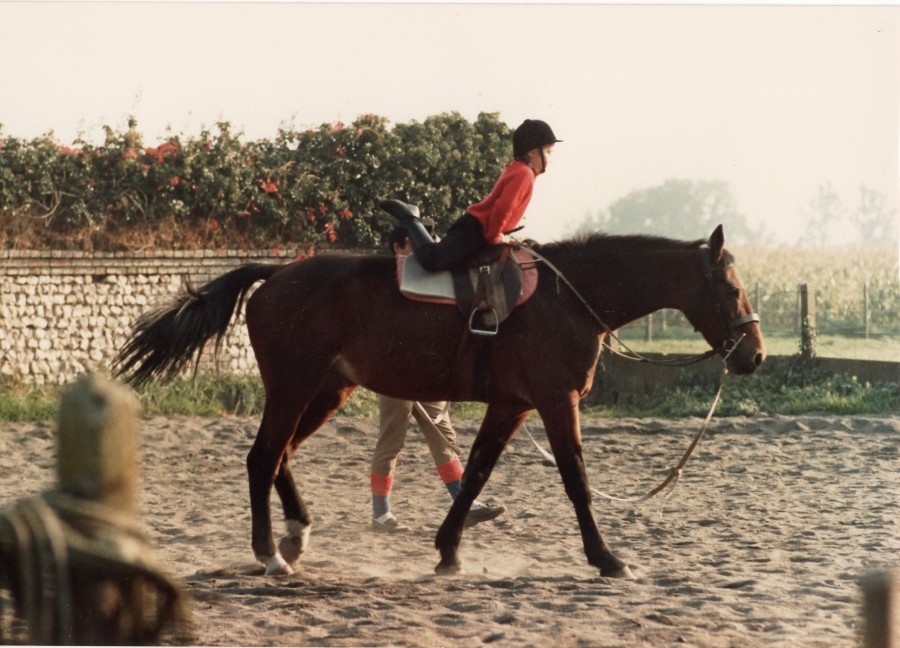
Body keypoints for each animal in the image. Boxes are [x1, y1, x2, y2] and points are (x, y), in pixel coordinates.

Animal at [114, 224, 765, 579]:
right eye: (732, 287)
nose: (754, 355)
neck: (566, 298)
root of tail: (276, 274)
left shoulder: (512, 406)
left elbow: (474, 471)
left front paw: (449, 549)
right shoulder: (555, 403)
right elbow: (576, 480)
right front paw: (606, 558)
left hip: (326, 390)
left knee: (281, 458)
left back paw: (296, 536)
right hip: (295, 389)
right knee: (262, 458)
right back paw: (269, 554)